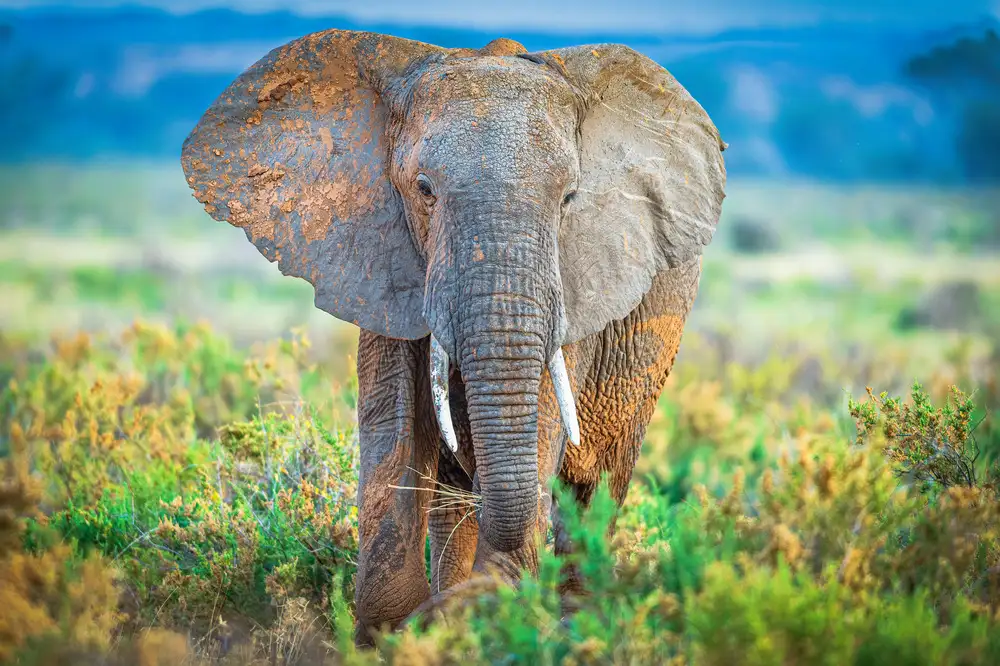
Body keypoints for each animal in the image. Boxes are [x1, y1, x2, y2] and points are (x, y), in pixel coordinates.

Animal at [181, 30, 726, 646]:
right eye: (424, 190)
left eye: (569, 199)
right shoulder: (382, 253)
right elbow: (393, 417)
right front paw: (399, 628)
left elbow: (539, 418)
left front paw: (473, 617)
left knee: (595, 485)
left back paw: (576, 625)